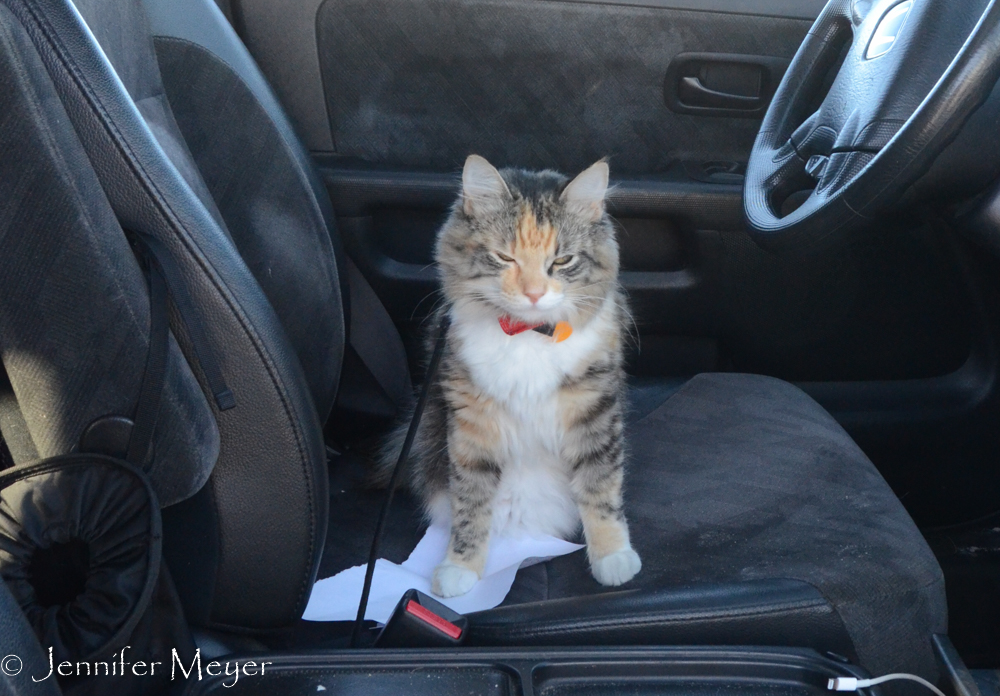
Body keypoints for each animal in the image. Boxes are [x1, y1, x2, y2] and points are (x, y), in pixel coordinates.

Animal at [376, 154, 640, 600]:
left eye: (562, 261)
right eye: (505, 258)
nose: (534, 293)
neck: (527, 334)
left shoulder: (594, 410)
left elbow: (599, 488)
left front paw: (612, 557)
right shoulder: (472, 422)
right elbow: (471, 502)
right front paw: (461, 568)